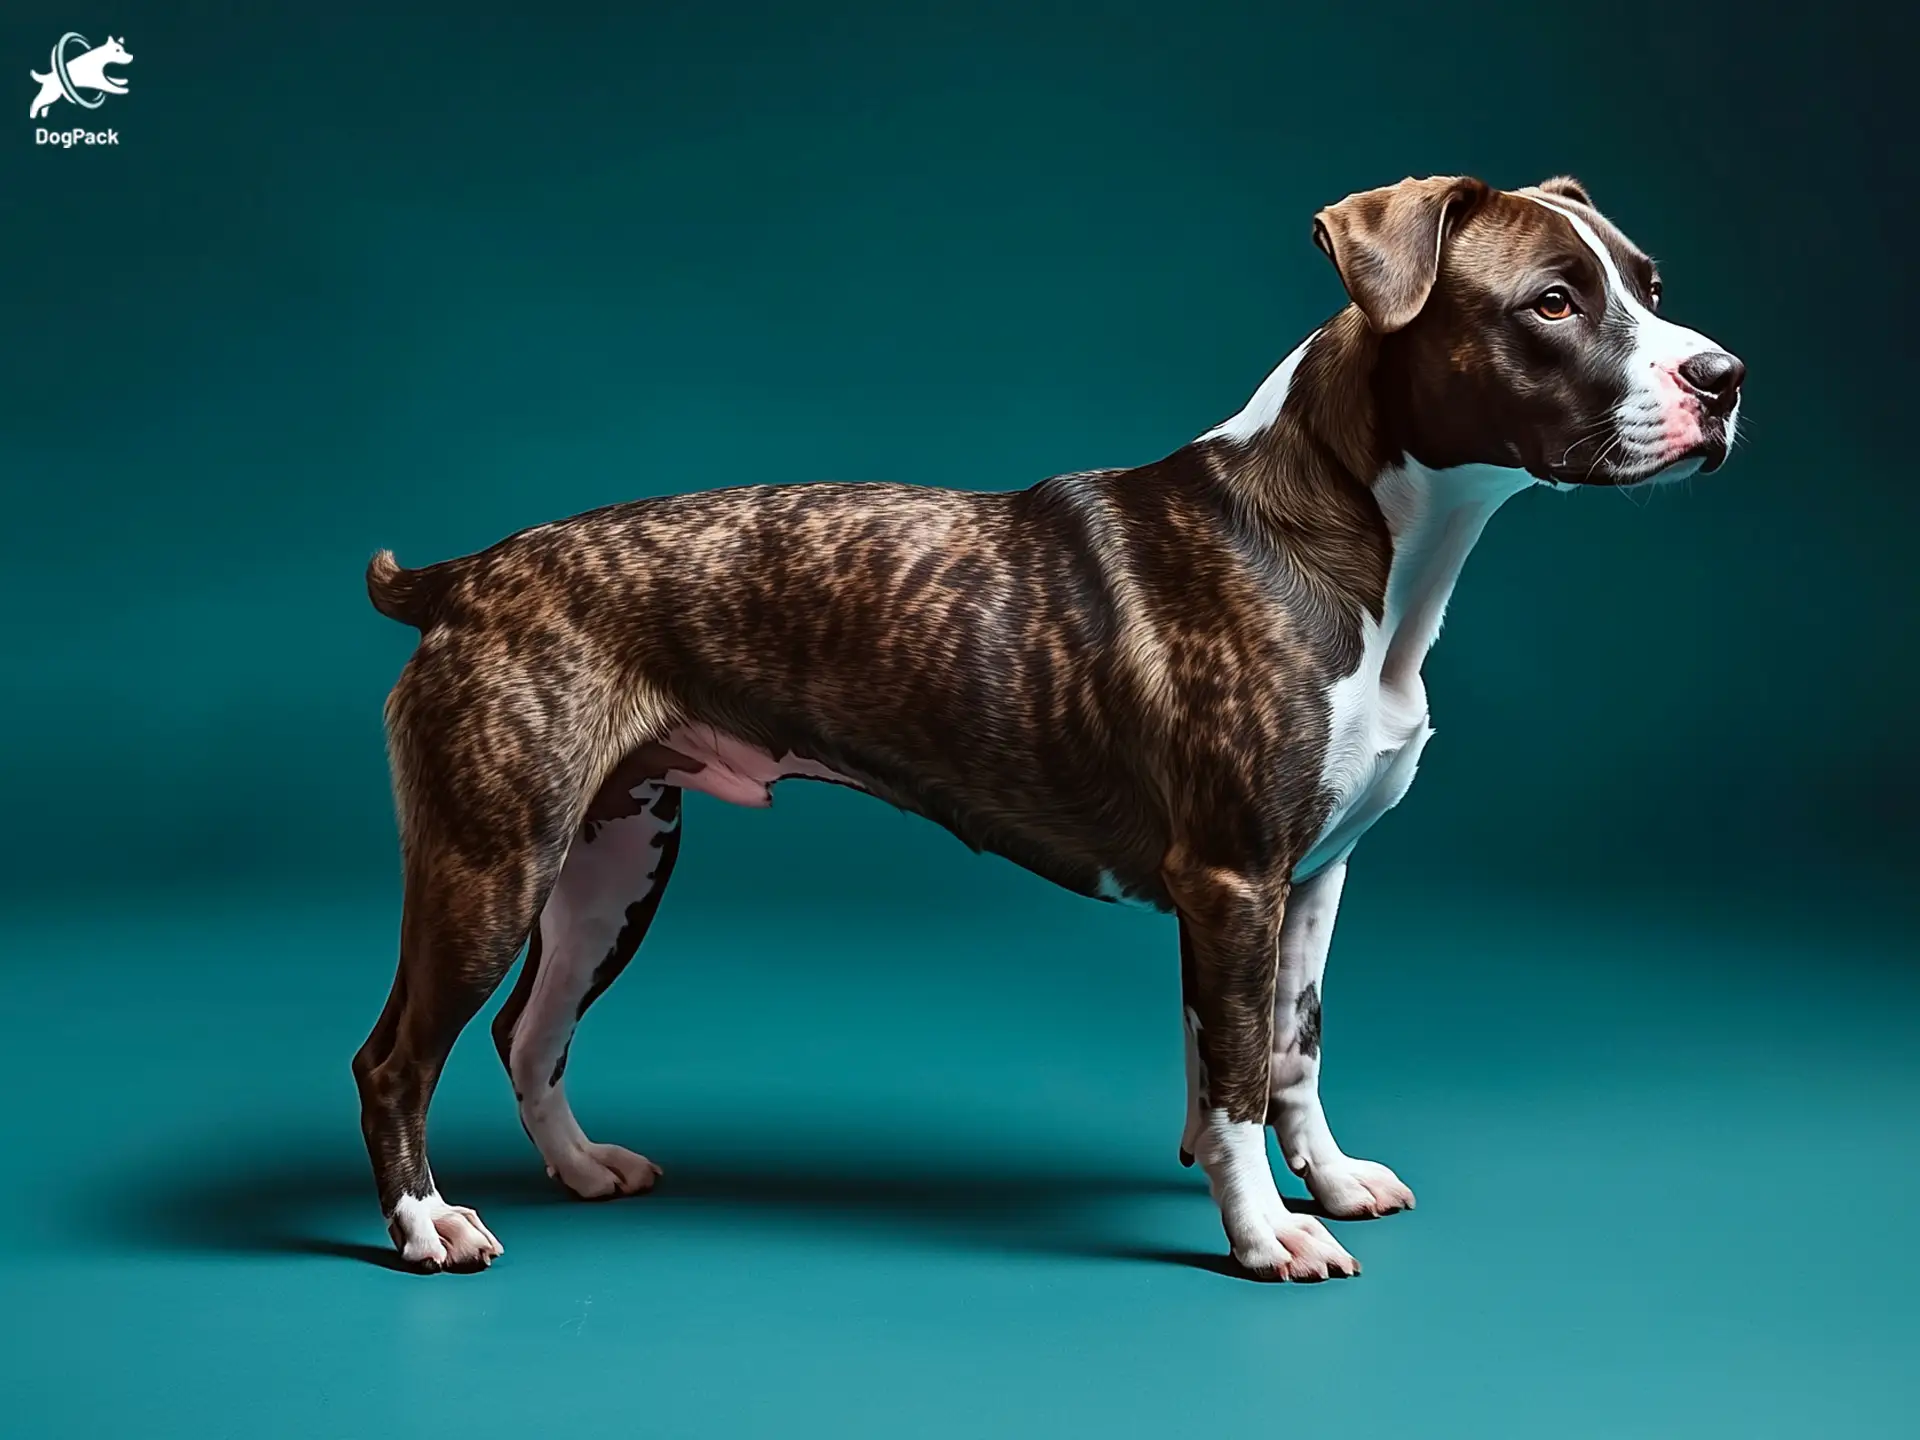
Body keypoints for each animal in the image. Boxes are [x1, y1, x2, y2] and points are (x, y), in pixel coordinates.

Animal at [357, 174, 1743, 1282]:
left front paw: (1331, 1182)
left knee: (527, 1032)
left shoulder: (1310, 880)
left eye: (1649, 284)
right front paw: (1266, 1236)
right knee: (398, 1059)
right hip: (495, 865)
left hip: (613, 862)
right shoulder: (1234, 878)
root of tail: (466, 574)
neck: (1363, 548)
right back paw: (429, 1226)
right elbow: (1234, 1079)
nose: (1724, 379)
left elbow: (1285, 1053)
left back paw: (582, 1167)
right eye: (1552, 303)